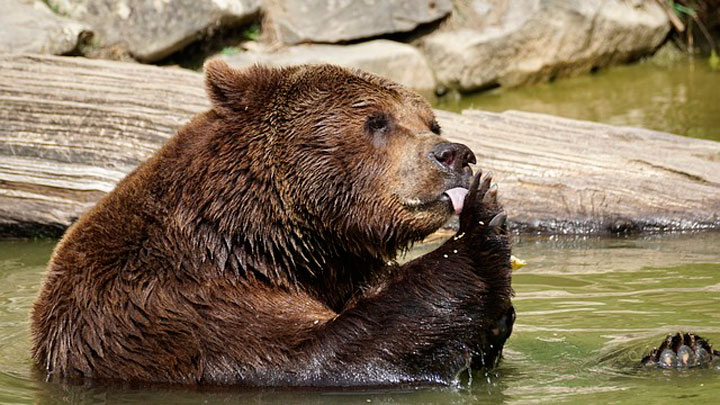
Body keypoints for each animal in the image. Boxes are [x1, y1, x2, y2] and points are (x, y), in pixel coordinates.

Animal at [30, 60, 515, 387]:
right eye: (376, 121)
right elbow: (315, 358)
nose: (455, 154)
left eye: (431, 122)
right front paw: (482, 226)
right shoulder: (174, 307)